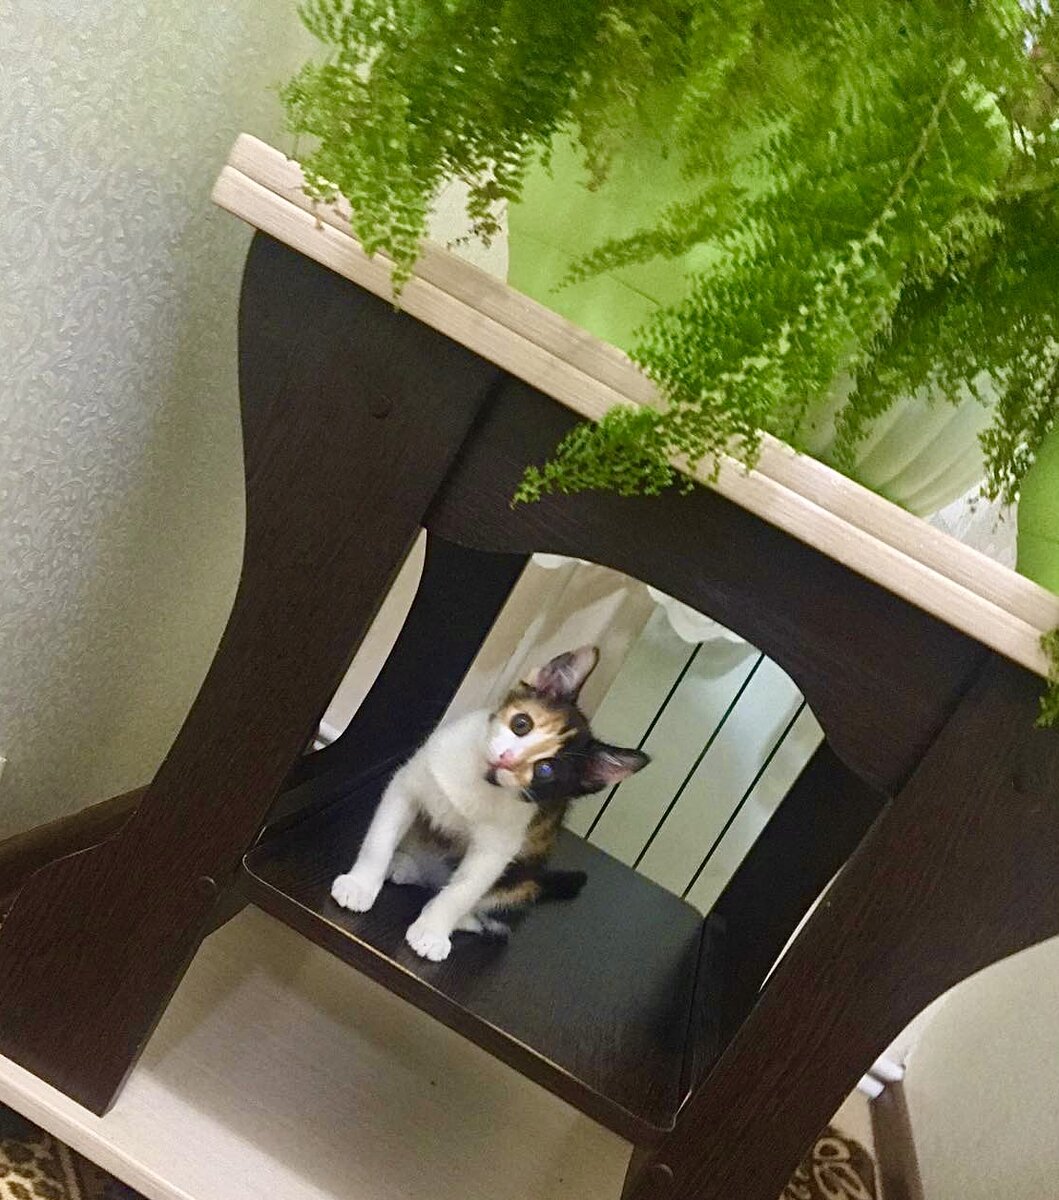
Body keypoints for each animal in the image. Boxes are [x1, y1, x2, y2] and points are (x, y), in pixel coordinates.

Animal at [330, 644, 650, 961]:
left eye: (545, 769)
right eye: (521, 724)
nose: (507, 759)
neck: (479, 782)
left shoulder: (498, 847)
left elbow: (462, 891)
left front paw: (432, 931)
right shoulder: (409, 783)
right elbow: (379, 840)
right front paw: (361, 884)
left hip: (522, 885)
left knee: (487, 917)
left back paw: (454, 913)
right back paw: (403, 865)